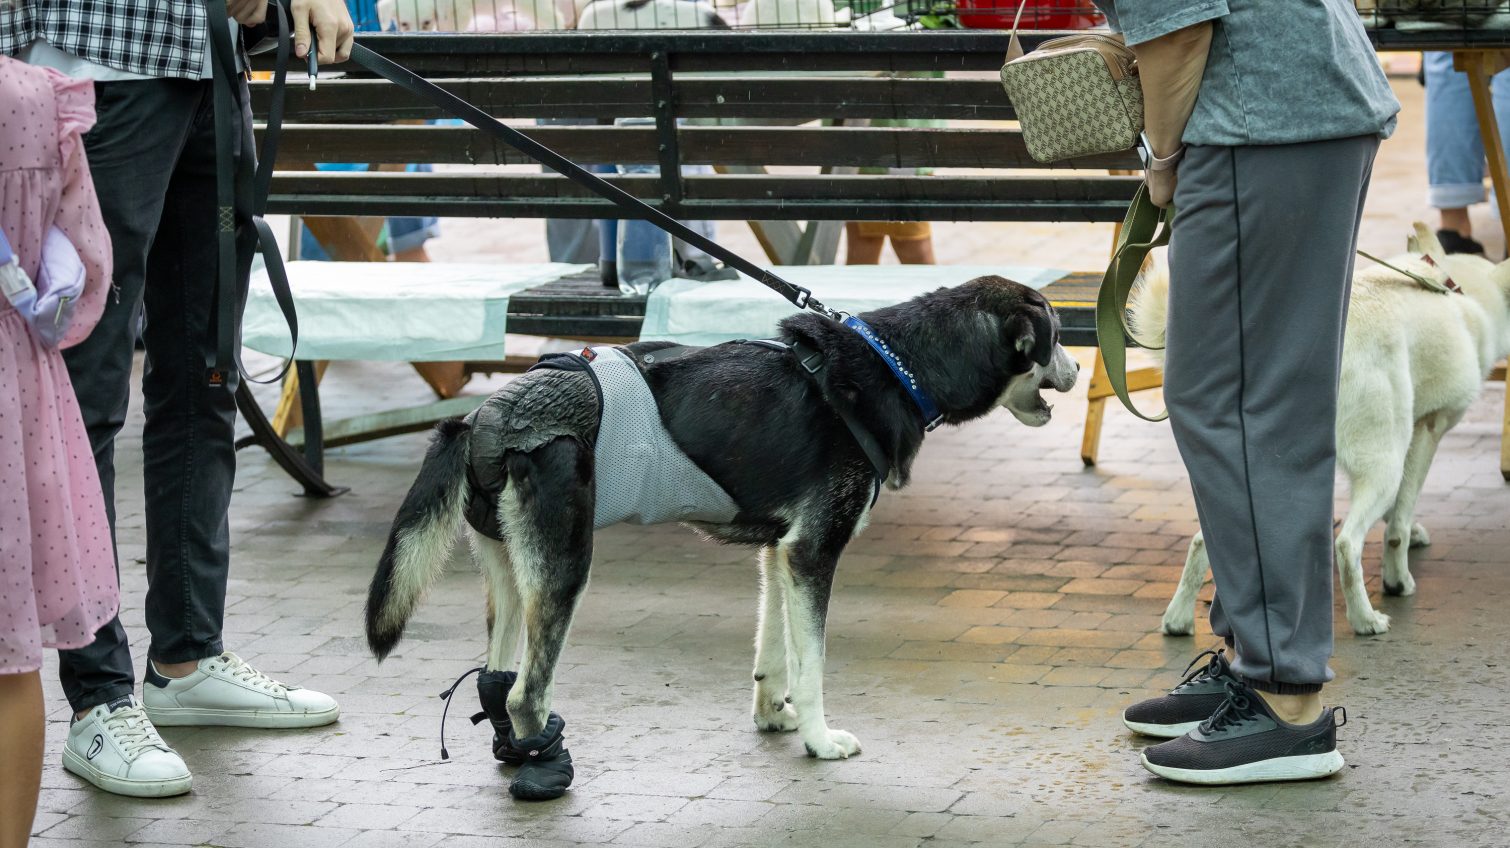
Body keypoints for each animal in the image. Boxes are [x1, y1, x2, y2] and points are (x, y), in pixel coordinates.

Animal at [363, 274, 1075, 796]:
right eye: (1055, 336)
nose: (1073, 369)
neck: (899, 368)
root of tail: (485, 417)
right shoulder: (814, 553)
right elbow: (813, 665)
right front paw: (820, 740)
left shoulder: (781, 554)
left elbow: (775, 652)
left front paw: (773, 717)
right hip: (565, 570)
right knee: (527, 691)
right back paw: (546, 770)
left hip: (513, 575)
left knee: (498, 677)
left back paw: (516, 755)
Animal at [1135, 224, 1510, 633]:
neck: (1457, 292)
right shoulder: (1426, 431)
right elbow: (1398, 521)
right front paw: (1399, 577)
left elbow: (1397, 511)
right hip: (1384, 463)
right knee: (1347, 545)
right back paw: (1365, 619)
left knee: (1207, 540)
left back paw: (1178, 618)